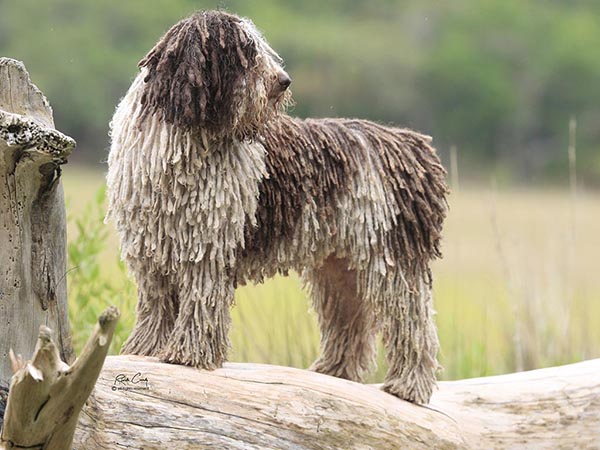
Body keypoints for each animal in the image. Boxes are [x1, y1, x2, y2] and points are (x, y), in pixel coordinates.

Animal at [106, 10, 446, 404]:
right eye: (245, 53)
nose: (283, 81)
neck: (185, 144)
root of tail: (409, 144)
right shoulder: (152, 251)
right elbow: (158, 305)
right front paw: (144, 350)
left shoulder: (208, 248)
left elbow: (200, 301)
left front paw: (188, 354)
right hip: (338, 266)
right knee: (351, 321)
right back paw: (334, 372)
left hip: (391, 258)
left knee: (414, 323)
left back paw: (409, 386)